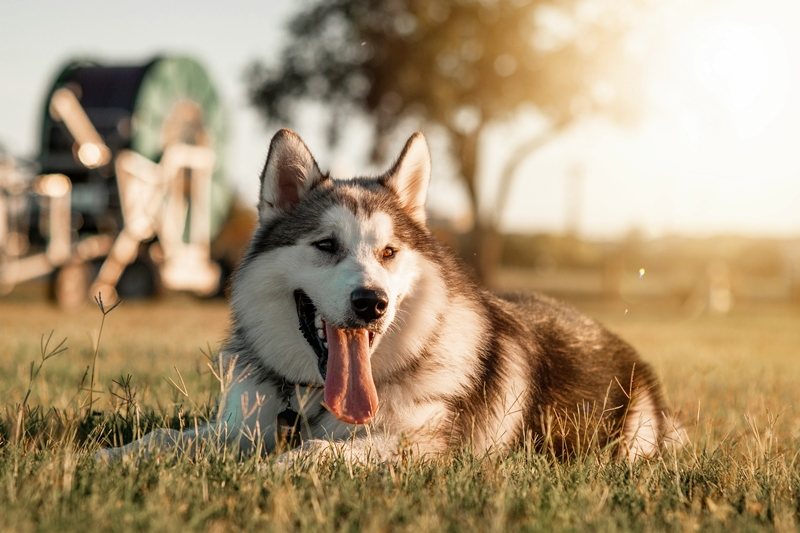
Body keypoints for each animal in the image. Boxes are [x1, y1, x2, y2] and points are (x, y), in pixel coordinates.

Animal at [100, 129, 676, 462]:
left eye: (390, 252)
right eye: (326, 245)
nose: (370, 302)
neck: (312, 402)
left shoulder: (423, 449)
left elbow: (314, 455)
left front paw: (270, 471)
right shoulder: (242, 425)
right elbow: (161, 439)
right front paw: (106, 459)